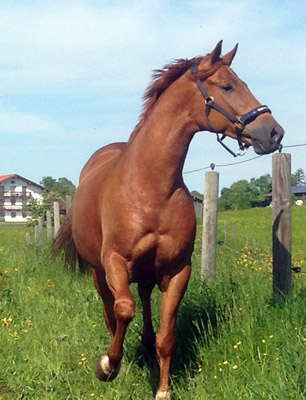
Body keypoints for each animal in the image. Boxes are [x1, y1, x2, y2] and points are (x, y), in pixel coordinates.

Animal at [53, 42, 284, 398]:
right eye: (228, 86)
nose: (273, 132)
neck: (150, 186)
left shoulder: (177, 270)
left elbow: (167, 336)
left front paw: (162, 389)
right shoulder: (115, 261)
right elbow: (123, 310)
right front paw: (108, 365)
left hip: (148, 271)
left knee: (145, 299)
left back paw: (145, 344)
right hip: (98, 271)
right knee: (111, 310)